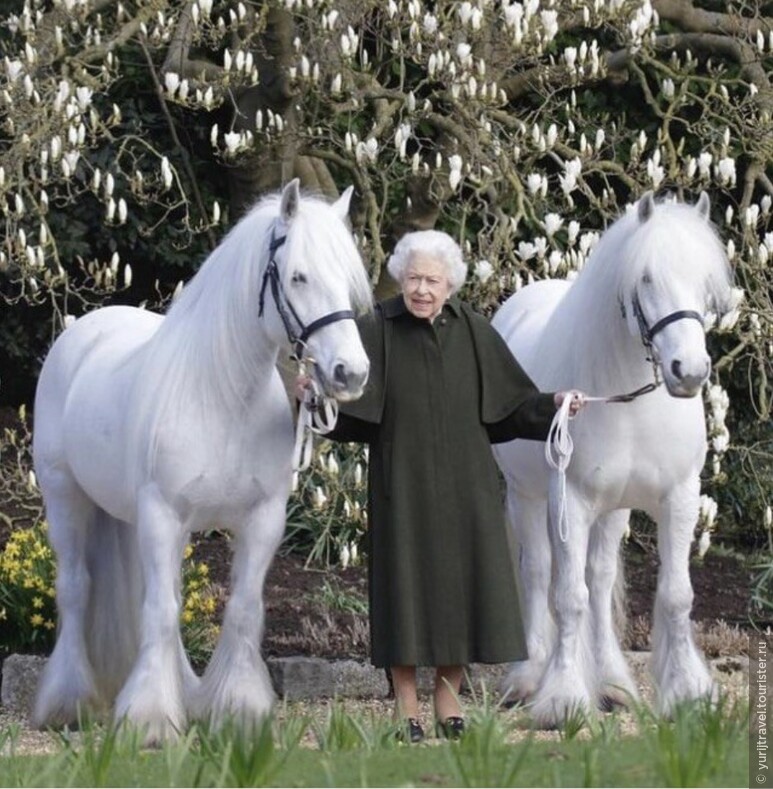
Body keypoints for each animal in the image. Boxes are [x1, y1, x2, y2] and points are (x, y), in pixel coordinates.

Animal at [34, 179, 372, 740]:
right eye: (298, 276)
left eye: (348, 281)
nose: (351, 373)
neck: (223, 397)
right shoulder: (162, 514)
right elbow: (160, 612)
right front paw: (150, 719)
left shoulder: (261, 519)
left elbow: (241, 609)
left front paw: (237, 709)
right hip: (67, 498)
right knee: (77, 589)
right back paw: (68, 702)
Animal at [492, 189, 732, 728]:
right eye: (646, 278)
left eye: (705, 282)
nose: (689, 371)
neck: (629, 400)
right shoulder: (571, 501)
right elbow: (567, 596)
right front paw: (562, 698)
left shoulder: (679, 497)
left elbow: (675, 595)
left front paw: (687, 692)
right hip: (526, 497)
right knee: (538, 573)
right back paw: (528, 677)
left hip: (614, 509)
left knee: (599, 581)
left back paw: (613, 683)